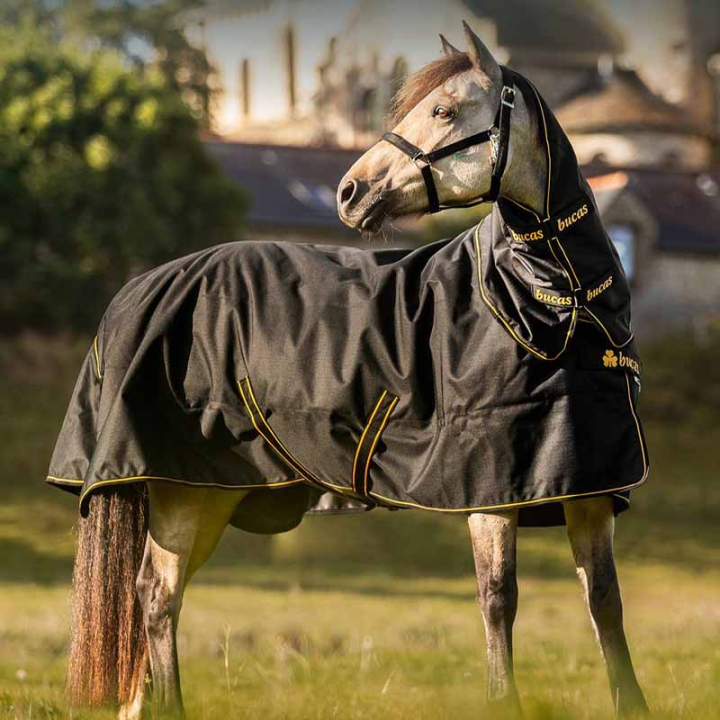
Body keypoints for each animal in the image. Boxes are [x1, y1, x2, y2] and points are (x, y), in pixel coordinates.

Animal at [49, 23, 649, 719]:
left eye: (443, 111)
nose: (348, 192)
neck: (551, 299)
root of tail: (138, 290)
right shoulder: (491, 493)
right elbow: (498, 601)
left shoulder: (589, 491)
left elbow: (606, 605)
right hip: (184, 490)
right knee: (156, 596)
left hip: (210, 496)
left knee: (155, 601)